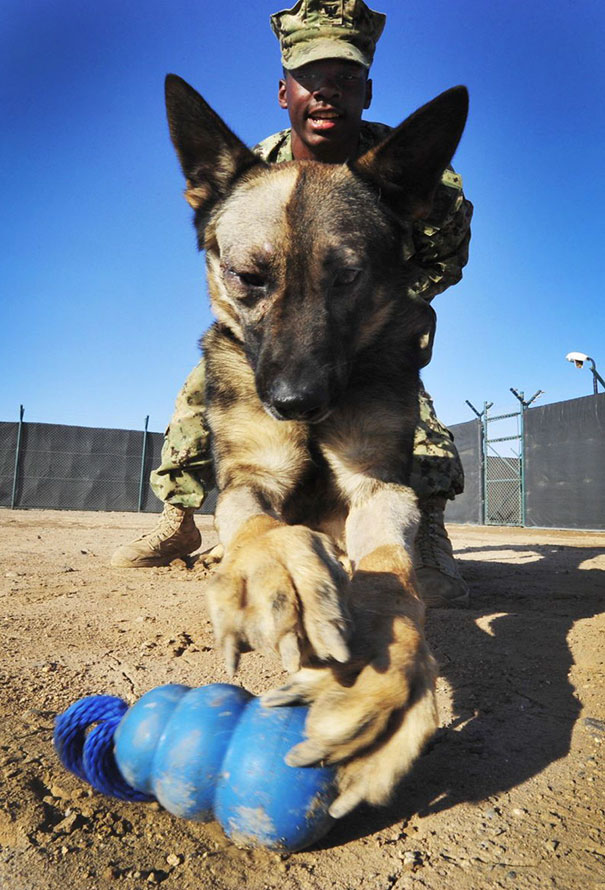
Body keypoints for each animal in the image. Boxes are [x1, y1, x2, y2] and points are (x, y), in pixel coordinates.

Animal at [164, 76, 468, 820]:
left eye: (347, 277)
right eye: (248, 277)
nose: (295, 402)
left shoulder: (377, 485)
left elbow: (390, 567)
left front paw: (384, 665)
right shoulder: (252, 474)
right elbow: (258, 524)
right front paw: (280, 570)